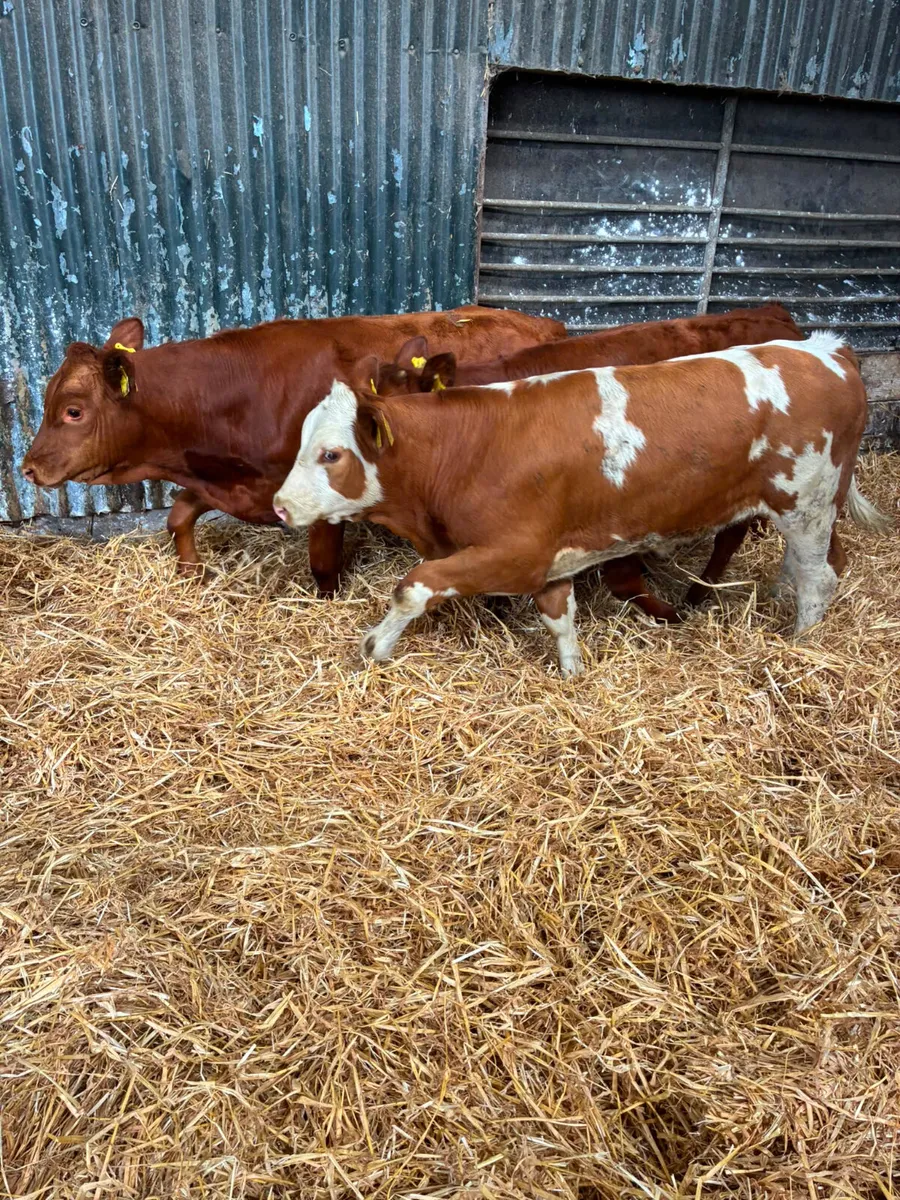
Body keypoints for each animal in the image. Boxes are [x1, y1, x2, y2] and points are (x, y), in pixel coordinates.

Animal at [20, 306, 565, 595]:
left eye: (73, 411)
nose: (27, 468)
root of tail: (542, 322)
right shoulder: (226, 481)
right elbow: (177, 517)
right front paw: (191, 573)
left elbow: (323, 567)